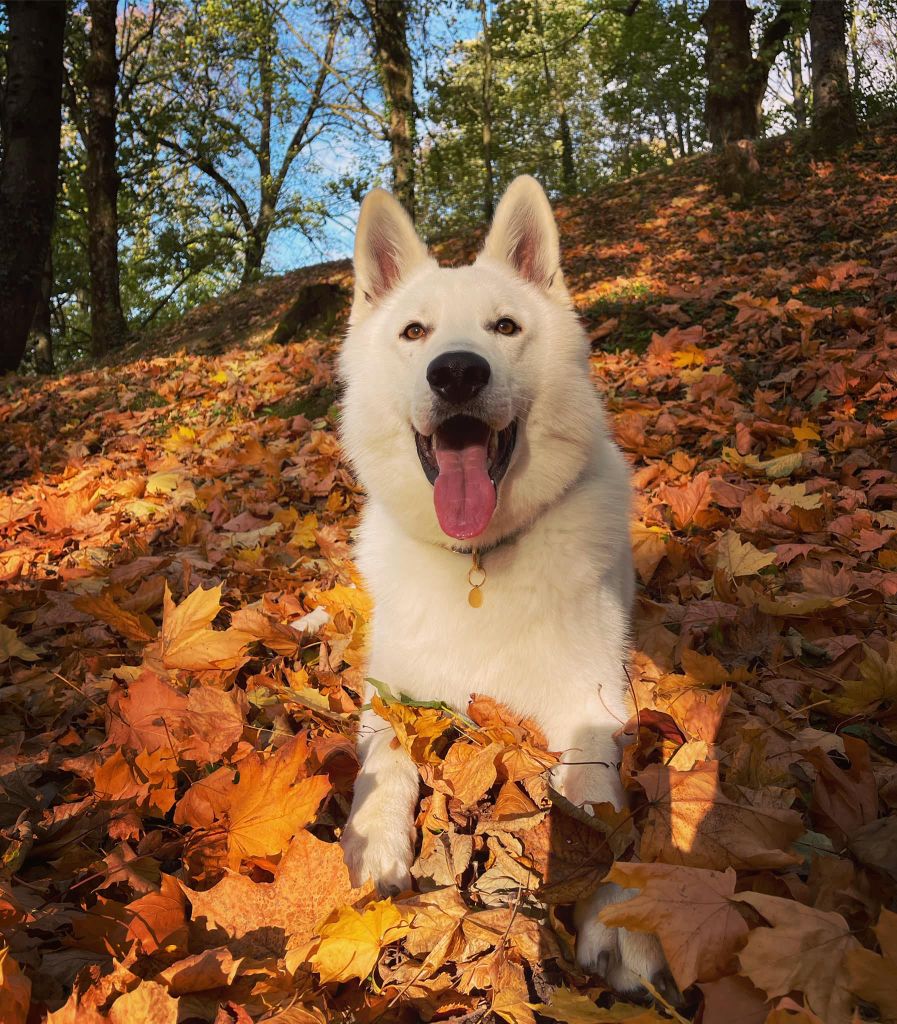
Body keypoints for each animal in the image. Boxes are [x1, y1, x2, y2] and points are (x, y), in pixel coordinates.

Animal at [335, 174, 667, 991]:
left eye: (505, 327)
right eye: (414, 333)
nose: (457, 371)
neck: (477, 561)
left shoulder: (589, 705)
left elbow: (595, 803)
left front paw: (614, 912)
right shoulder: (390, 692)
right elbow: (383, 762)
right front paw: (375, 841)